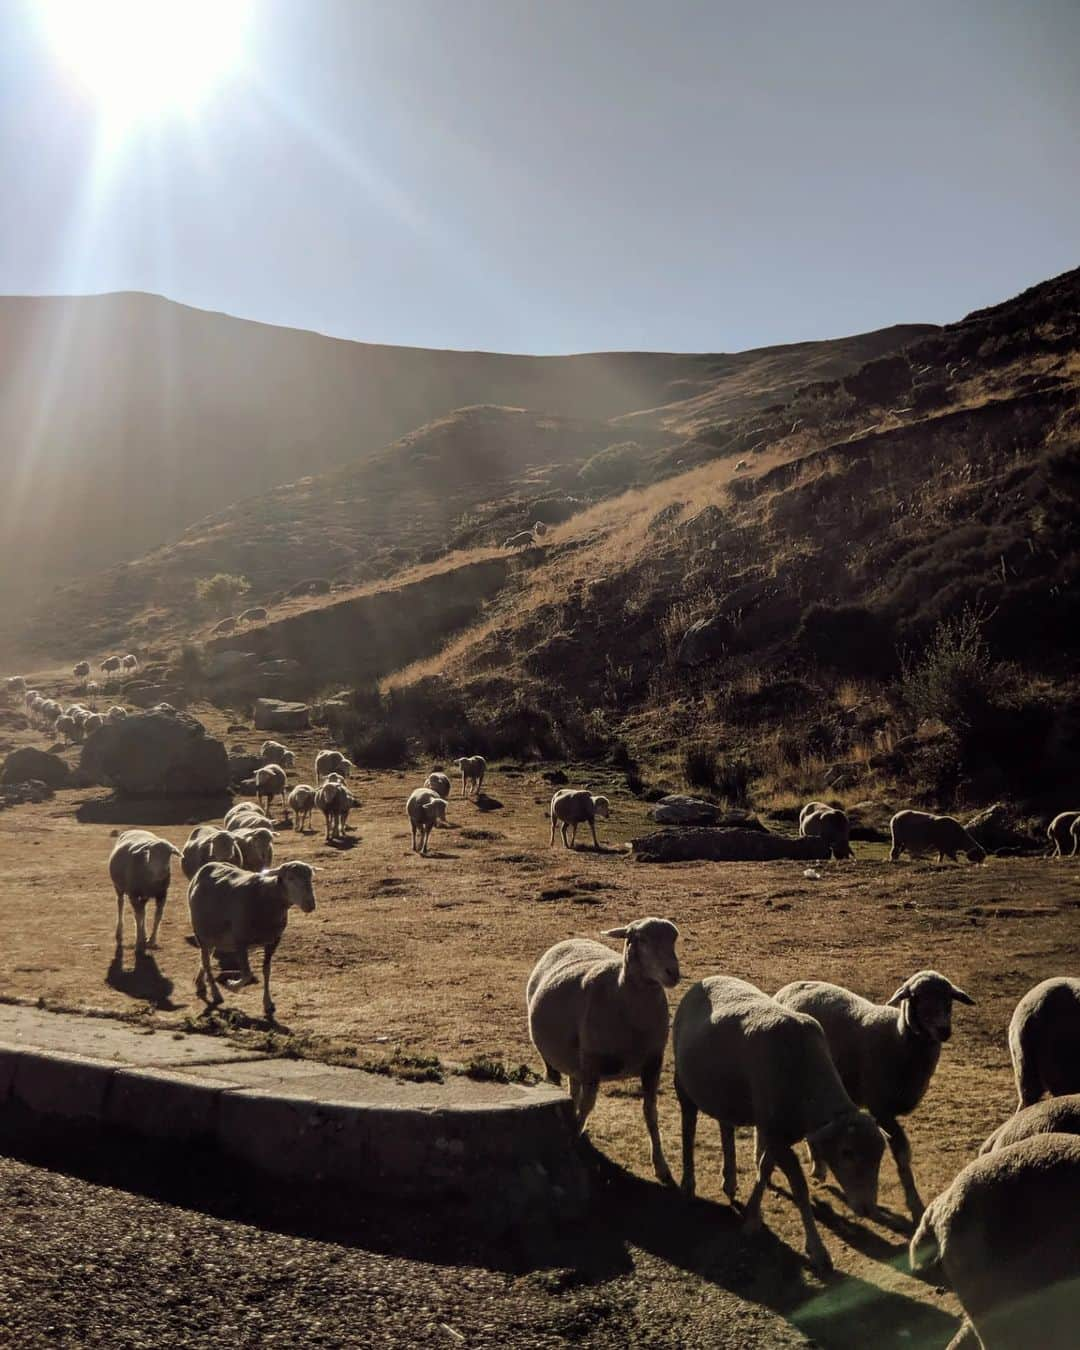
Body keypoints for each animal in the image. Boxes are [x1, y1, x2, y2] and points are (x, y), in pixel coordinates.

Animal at [108, 826, 180, 955]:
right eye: (152, 853)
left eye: (169, 854)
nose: (163, 871)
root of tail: (135, 829)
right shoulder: (133, 895)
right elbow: (138, 917)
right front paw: (138, 943)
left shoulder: (162, 894)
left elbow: (157, 916)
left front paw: (151, 940)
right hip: (118, 887)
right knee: (121, 904)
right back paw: (120, 932)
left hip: (144, 896)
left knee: (143, 911)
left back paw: (144, 935)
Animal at [187, 858, 315, 1015]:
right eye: (290, 878)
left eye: (310, 878)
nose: (310, 904)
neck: (267, 900)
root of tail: (207, 866)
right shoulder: (240, 940)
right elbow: (247, 973)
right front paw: (231, 986)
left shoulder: (273, 941)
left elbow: (267, 970)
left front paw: (267, 1002)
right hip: (201, 932)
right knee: (206, 961)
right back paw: (216, 993)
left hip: (213, 935)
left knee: (205, 957)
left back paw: (200, 983)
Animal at [675, 972, 885, 1274]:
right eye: (847, 1153)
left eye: (880, 1156)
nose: (868, 1209)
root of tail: (706, 979)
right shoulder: (775, 1133)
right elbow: (799, 1186)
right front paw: (817, 1249)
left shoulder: (776, 1132)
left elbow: (764, 1168)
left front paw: (752, 1216)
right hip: (684, 1085)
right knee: (688, 1126)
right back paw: (688, 1183)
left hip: (725, 1094)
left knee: (726, 1127)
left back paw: (729, 1179)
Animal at [772, 972, 972, 1225]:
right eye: (917, 997)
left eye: (949, 1000)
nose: (944, 1030)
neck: (898, 1039)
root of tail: (791, 987)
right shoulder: (880, 1107)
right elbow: (902, 1154)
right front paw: (914, 1204)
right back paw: (818, 1166)